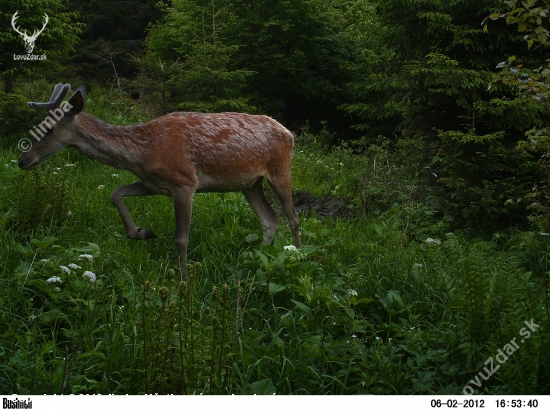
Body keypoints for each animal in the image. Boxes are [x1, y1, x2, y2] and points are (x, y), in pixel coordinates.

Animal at [19, 83, 302, 274]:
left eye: (49, 128)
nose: (23, 159)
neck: (143, 151)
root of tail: (289, 133)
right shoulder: (152, 183)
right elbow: (115, 193)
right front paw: (141, 232)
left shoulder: (185, 182)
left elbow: (181, 238)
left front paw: (184, 277)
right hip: (250, 183)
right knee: (270, 219)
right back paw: (259, 257)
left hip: (280, 170)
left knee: (293, 216)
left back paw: (298, 255)